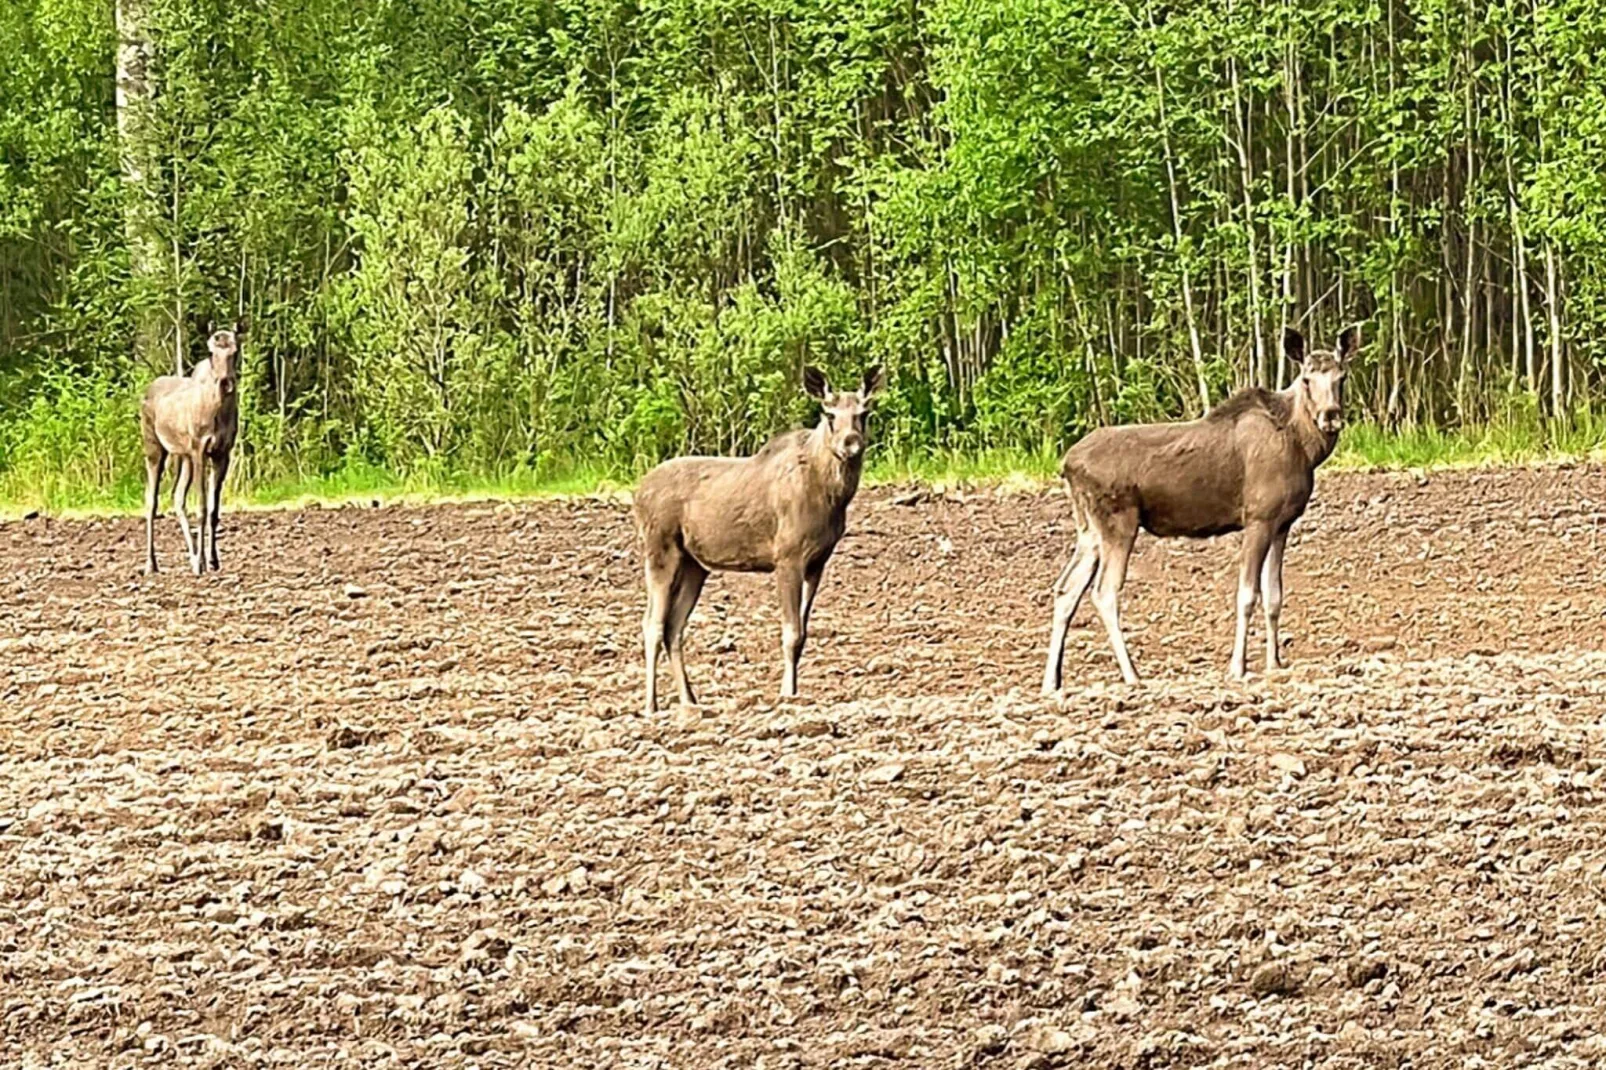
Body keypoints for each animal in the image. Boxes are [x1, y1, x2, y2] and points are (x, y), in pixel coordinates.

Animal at [139, 322, 242, 575]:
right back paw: (151, 563)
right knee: (151, 501)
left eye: (235, 351)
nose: (226, 382)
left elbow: (214, 511)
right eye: (211, 352)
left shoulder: (222, 453)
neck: (219, 412)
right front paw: (202, 563)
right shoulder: (199, 449)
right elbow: (202, 508)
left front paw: (212, 560)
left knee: (177, 497)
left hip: (183, 456)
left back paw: (194, 557)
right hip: (155, 448)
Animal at [629, 364, 886, 706]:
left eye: (864, 413)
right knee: (652, 624)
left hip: (695, 564)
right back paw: (652, 705)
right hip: (660, 549)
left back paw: (690, 700)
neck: (832, 498)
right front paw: (787, 693)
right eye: (829, 414)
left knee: (673, 626)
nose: (851, 443)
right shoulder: (787, 555)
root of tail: (637, 493)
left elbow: (803, 633)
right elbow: (791, 633)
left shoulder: (818, 562)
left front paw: (793, 690)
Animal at [1040, 324, 1355, 687]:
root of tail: (1066, 464)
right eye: (1306, 379)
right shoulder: (1259, 517)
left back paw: (1052, 682)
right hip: (1118, 523)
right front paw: (1237, 667)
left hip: (1089, 530)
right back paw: (1132, 675)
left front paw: (1275, 663)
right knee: (1104, 592)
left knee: (1065, 588)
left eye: (1342, 377)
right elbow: (1247, 595)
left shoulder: (1283, 523)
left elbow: (1274, 595)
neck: (1303, 447)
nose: (1330, 417)